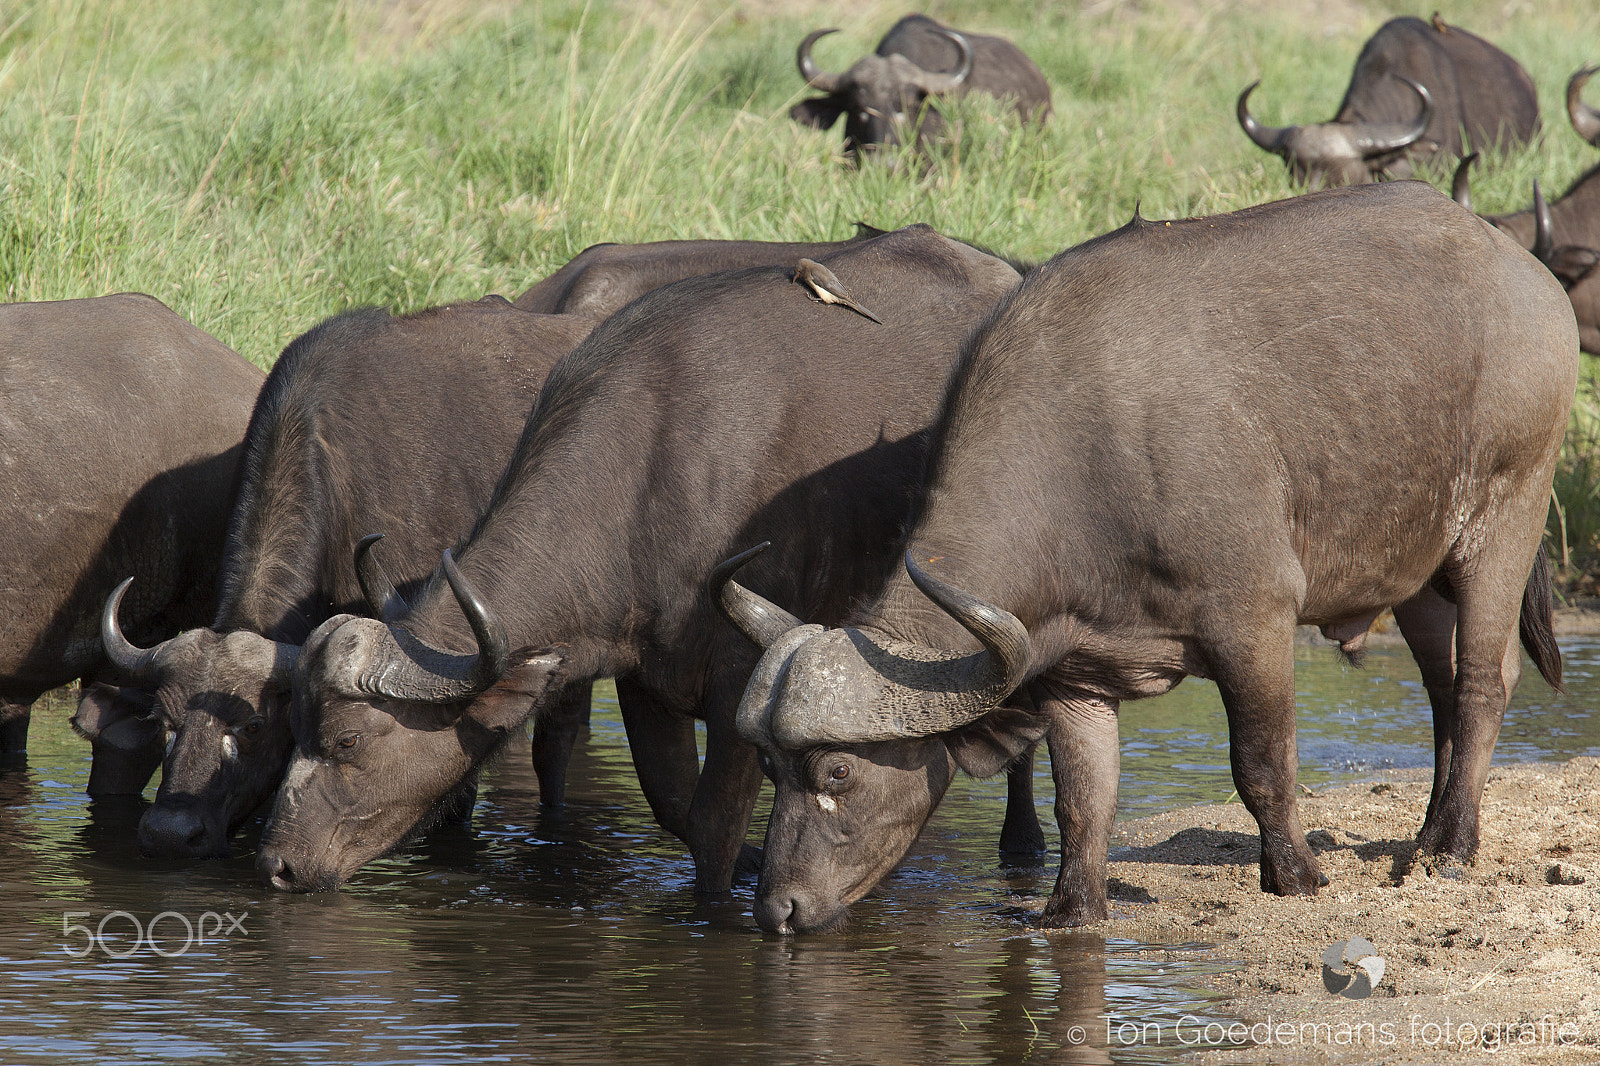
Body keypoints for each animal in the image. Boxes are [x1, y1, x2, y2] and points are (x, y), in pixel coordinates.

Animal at [254, 224, 1017, 889]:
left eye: (347, 741)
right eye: (290, 730)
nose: (277, 863)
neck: (655, 470)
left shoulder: (744, 683)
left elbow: (713, 827)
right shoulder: (646, 679)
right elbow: (674, 805)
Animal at [720, 182, 1580, 928]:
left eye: (837, 770)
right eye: (766, 767)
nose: (777, 909)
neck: (1090, 459)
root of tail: (1526, 273)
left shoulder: (1255, 620)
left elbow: (1262, 763)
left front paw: (1296, 875)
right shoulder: (1073, 672)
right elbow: (1083, 799)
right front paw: (1072, 905)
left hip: (1507, 510)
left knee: (1483, 680)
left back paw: (1454, 847)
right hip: (1416, 568)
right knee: (1441, 685)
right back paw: (1430, 832)